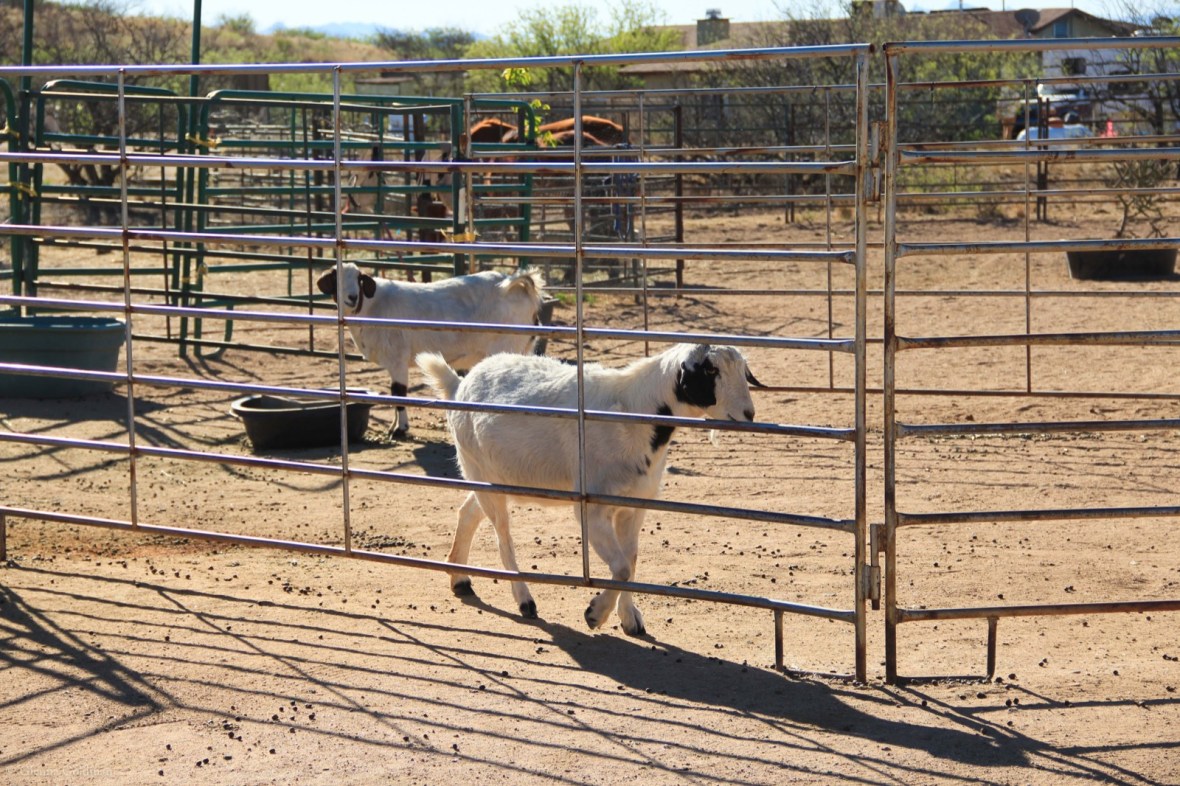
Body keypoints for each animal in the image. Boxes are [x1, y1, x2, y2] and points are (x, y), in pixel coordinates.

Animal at [317, 262, 546, 437]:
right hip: (523, 347)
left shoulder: (397, 358)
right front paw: (395, 426)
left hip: (506, 345)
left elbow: (398, 392)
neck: (371, 308)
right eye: (336, 279)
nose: (352, 297)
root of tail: (521, 289)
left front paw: (400, 429)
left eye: (358, 279)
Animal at [416, 343, 764, 635]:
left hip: (492, 477)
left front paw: (629, 619)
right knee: (503, 538)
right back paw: (524, 600)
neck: (634, 410)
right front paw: (595, 614)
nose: (749, 414)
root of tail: (459, 383)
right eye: (710, 371)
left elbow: (631, 562)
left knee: (468, 512)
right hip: (479, 469)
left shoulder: (635, 505)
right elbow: (621, 567)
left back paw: (460, 578)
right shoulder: (593, 508)